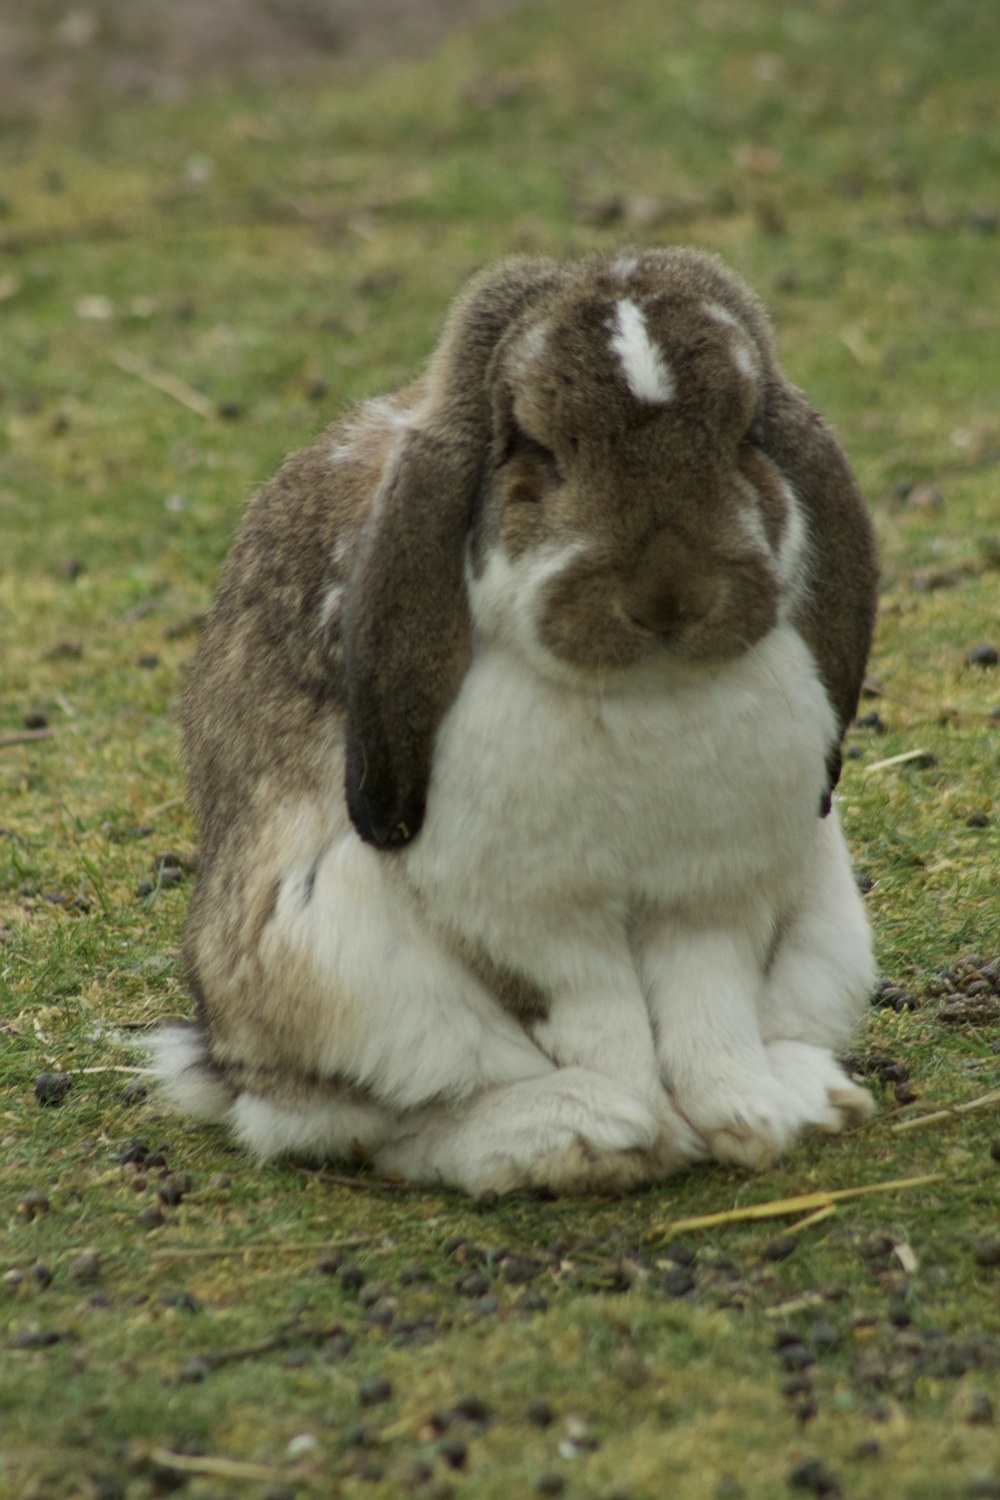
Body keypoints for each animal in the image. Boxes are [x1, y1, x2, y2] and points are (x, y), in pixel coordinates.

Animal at [152, 249, 881, 1194]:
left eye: (746, 434)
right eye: (537, 447)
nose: (669, 598)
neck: (645, 689)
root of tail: (226, 1057)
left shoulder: (713, 895)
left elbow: (706, 1009)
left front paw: (745, 1119)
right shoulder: (536, 920)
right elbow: (601, 1021)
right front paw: (643, 1131)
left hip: (828, 921)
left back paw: (806, 1093)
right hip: (345, 971)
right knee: (392, 1124)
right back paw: (567, 1135)